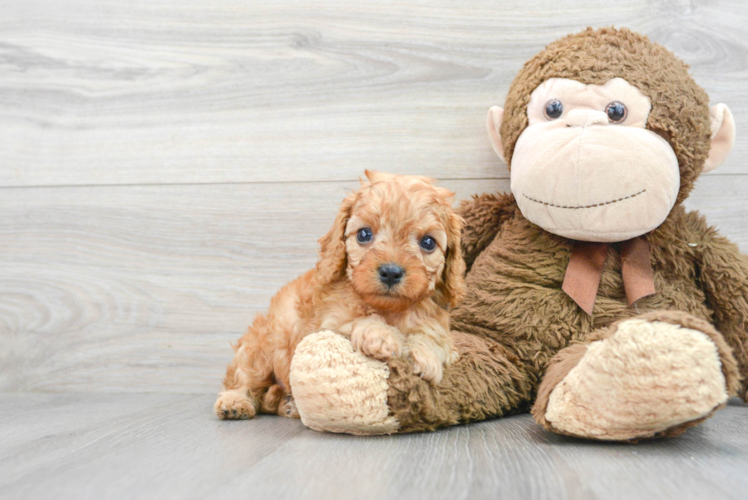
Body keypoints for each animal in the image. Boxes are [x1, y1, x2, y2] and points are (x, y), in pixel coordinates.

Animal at [213, 170, 464, 420]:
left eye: (428, 242)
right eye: (364, 234)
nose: (391, 272)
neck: (388, 310)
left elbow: (435, 335)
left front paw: (424, 353)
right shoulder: (327, 325)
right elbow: (355, 320)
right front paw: (381, 334)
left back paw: (288, 404)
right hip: (260, 349)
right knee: (245, 379)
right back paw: (235, 402)